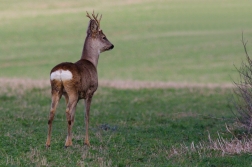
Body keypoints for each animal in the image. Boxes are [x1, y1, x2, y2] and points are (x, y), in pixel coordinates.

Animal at [46, 11, 114, 147]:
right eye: (104, 37)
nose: (112, 45)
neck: (91, 62)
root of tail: (60, 71)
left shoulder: (72, 96)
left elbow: (73, 117)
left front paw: (69, 139)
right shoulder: (90, 92)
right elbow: (86, 116)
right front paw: (86, 141)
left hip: (56, 89)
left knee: (52, 112)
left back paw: (48, 143)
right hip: (72, 90)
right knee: (67, 111)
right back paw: (66, 144)